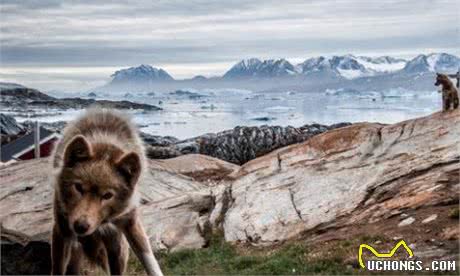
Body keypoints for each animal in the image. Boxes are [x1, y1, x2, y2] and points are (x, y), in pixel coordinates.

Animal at [51, 109, 164, 274]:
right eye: (78, 187)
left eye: (107, 196)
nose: (80, 226)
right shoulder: (62, 230)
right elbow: (58, 269)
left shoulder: (130, 223)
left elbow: (150, 262)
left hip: (117, 245)